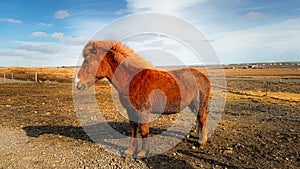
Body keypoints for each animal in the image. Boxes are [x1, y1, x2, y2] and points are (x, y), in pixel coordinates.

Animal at [75, 40, 211, 158]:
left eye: (88, 61)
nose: (78, 84)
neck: (132, 80)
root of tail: (203, 77)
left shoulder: (143, 112)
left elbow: (144, 131)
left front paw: (142, 153)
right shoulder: (130, 111)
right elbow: (133, 130)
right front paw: (130, 151)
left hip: (199, 104)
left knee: (202, 119)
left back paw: (201, 142)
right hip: (193, 105)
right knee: (200, 120)